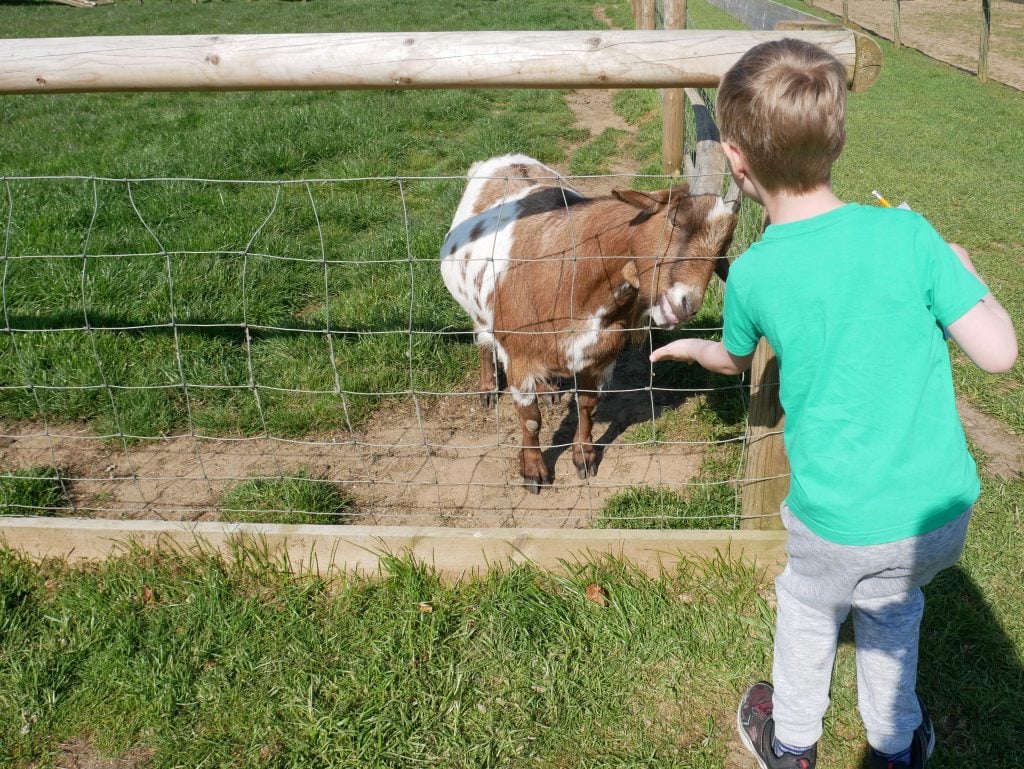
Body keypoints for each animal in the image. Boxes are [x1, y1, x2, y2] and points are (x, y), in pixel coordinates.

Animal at [440, 153, 737, 495]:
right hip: (479, 312)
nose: (686, 303)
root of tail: (504, 159)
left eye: (725, 243)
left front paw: (584, 457)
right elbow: (530, 419)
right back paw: (488, 389)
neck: (569, 281)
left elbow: (587, 406)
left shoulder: (599, 357)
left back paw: (549, 389)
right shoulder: (519, 358)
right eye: (674, 220)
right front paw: (533, 473)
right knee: (482, 338)